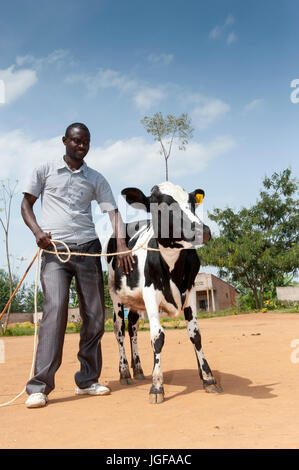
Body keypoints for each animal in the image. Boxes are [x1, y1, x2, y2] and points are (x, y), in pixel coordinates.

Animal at [106, 182, 223, 402]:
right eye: (158, 206)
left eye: (192, 203)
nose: (202, 230)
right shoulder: (151, 293)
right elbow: (157, 337)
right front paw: (157, 386)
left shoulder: (191, 291)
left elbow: (195, 335)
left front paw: (207, 377)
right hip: (115, 295)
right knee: (119, 330)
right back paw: (125, 372)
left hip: (136, 301)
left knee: (133, 327)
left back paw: (138, 369)